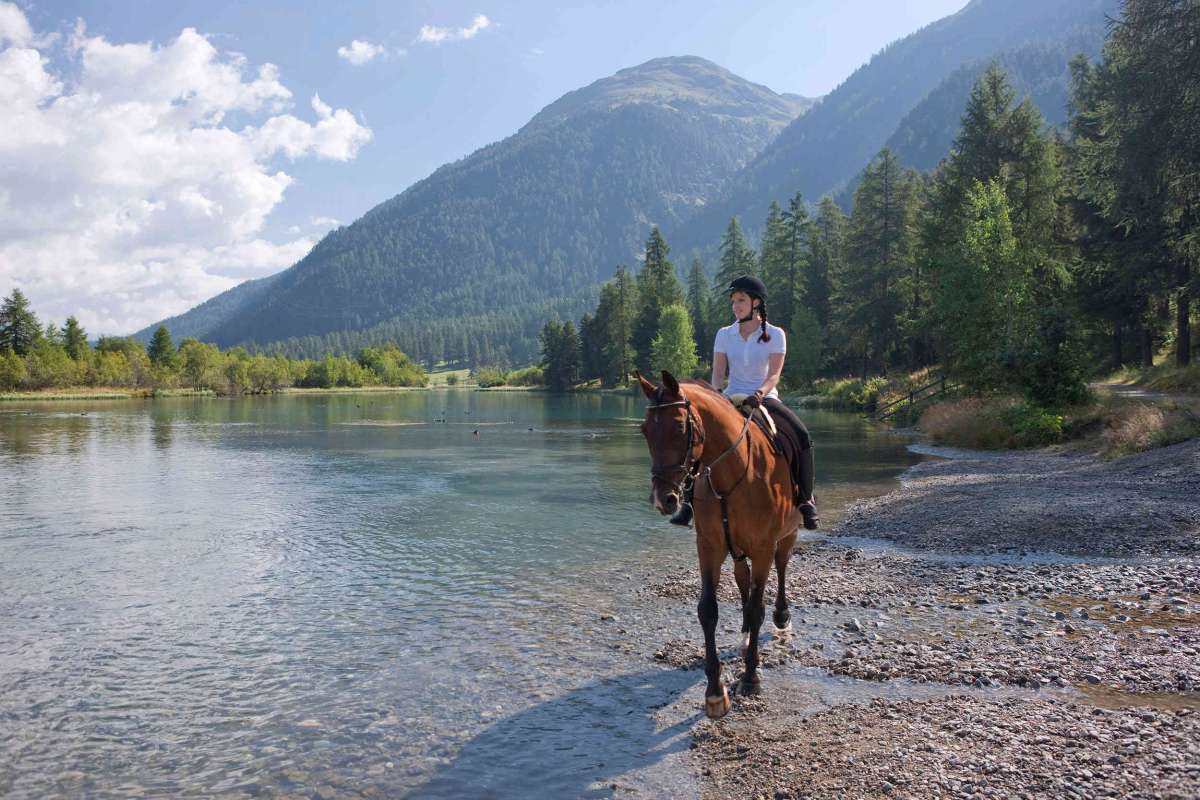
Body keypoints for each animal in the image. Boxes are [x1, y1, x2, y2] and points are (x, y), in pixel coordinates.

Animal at [633, 371, 801, 719]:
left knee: (781, 568)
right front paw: (714, 691)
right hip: (736, 551)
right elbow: (708, 611)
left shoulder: (763, 547)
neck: (734, 474)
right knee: (742, 579)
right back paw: (745, 633)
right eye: (645, 430)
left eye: (679, 428)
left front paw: (750, 678)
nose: (662, 499)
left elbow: (757, 608)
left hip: (786, 536)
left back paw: (782, 615)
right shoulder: (709, 547)